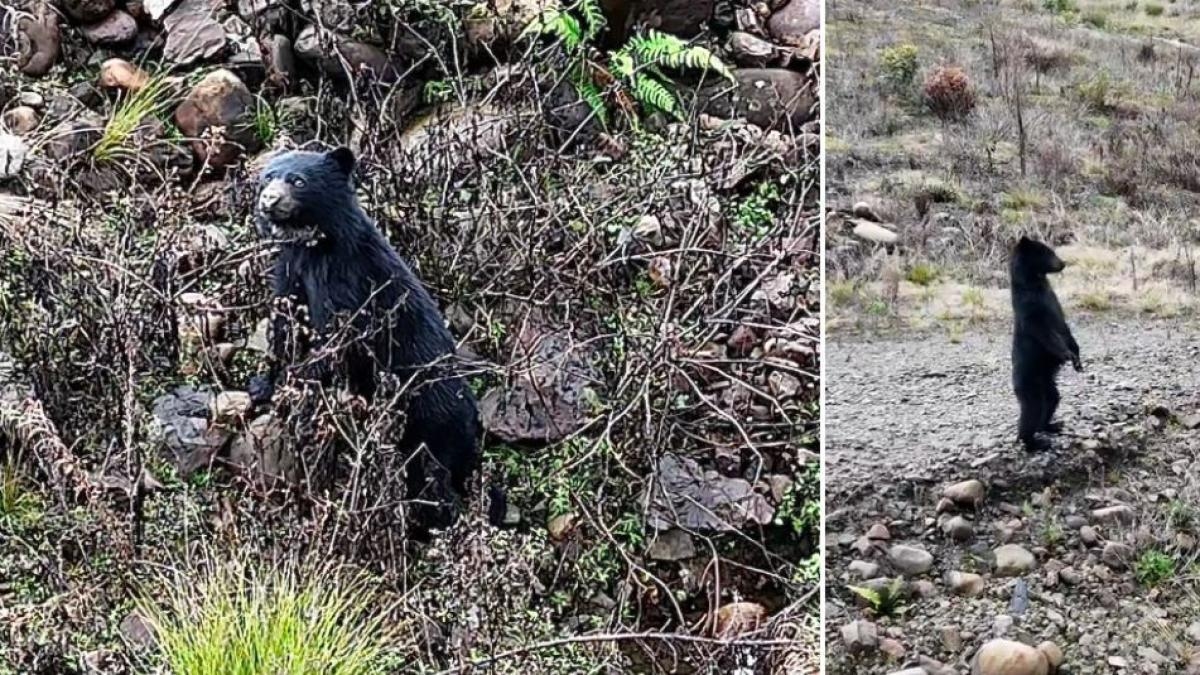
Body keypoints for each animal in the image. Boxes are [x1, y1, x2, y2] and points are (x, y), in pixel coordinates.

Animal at [248, 145, 496, 526]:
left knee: (436, 479)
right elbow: (284, 324)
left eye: (298, 180)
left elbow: (336, 340)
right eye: (267, 176)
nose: (269, 200)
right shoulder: (292, 270)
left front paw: (296, 380)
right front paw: (262, 384)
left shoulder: (348, 283)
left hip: (432, 421)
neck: (317, 247)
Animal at [1008, 234, 1084, 449]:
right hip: (1029, 381)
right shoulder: (1031, 307)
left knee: (1052, 400)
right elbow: (1045, 332)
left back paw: (1051, 425)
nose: (1063, 263)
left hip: (1048, 381)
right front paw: (1066, 354)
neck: (1036, 282)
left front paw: (1077, 358)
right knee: (1032, 409)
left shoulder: (1052, 300)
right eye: (1048, 253)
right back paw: (1033, 442)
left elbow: (1064, 327)